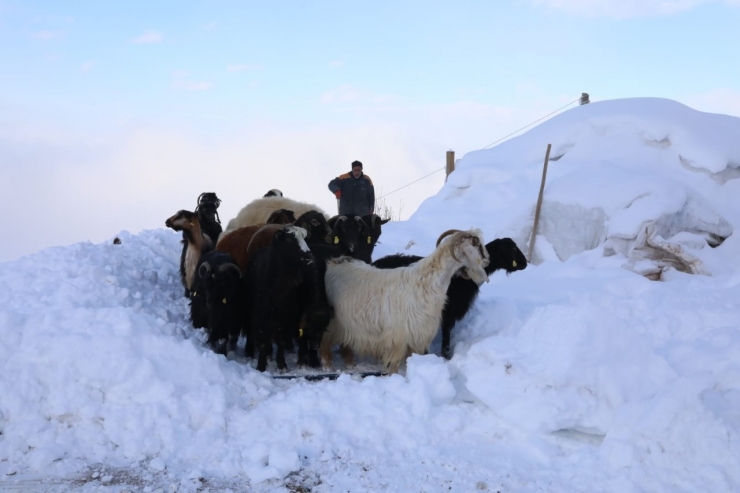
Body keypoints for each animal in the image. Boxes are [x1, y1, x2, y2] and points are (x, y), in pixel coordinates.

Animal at [320, 229, 488, 370]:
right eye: (476, 246)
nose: (487, 260)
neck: (428, 283)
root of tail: (334, 263)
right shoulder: (398, 338)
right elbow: (393, 364)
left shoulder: (418, 336)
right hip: (334, 322)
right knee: (325, 342)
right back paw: (328, 365)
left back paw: (350, 363)